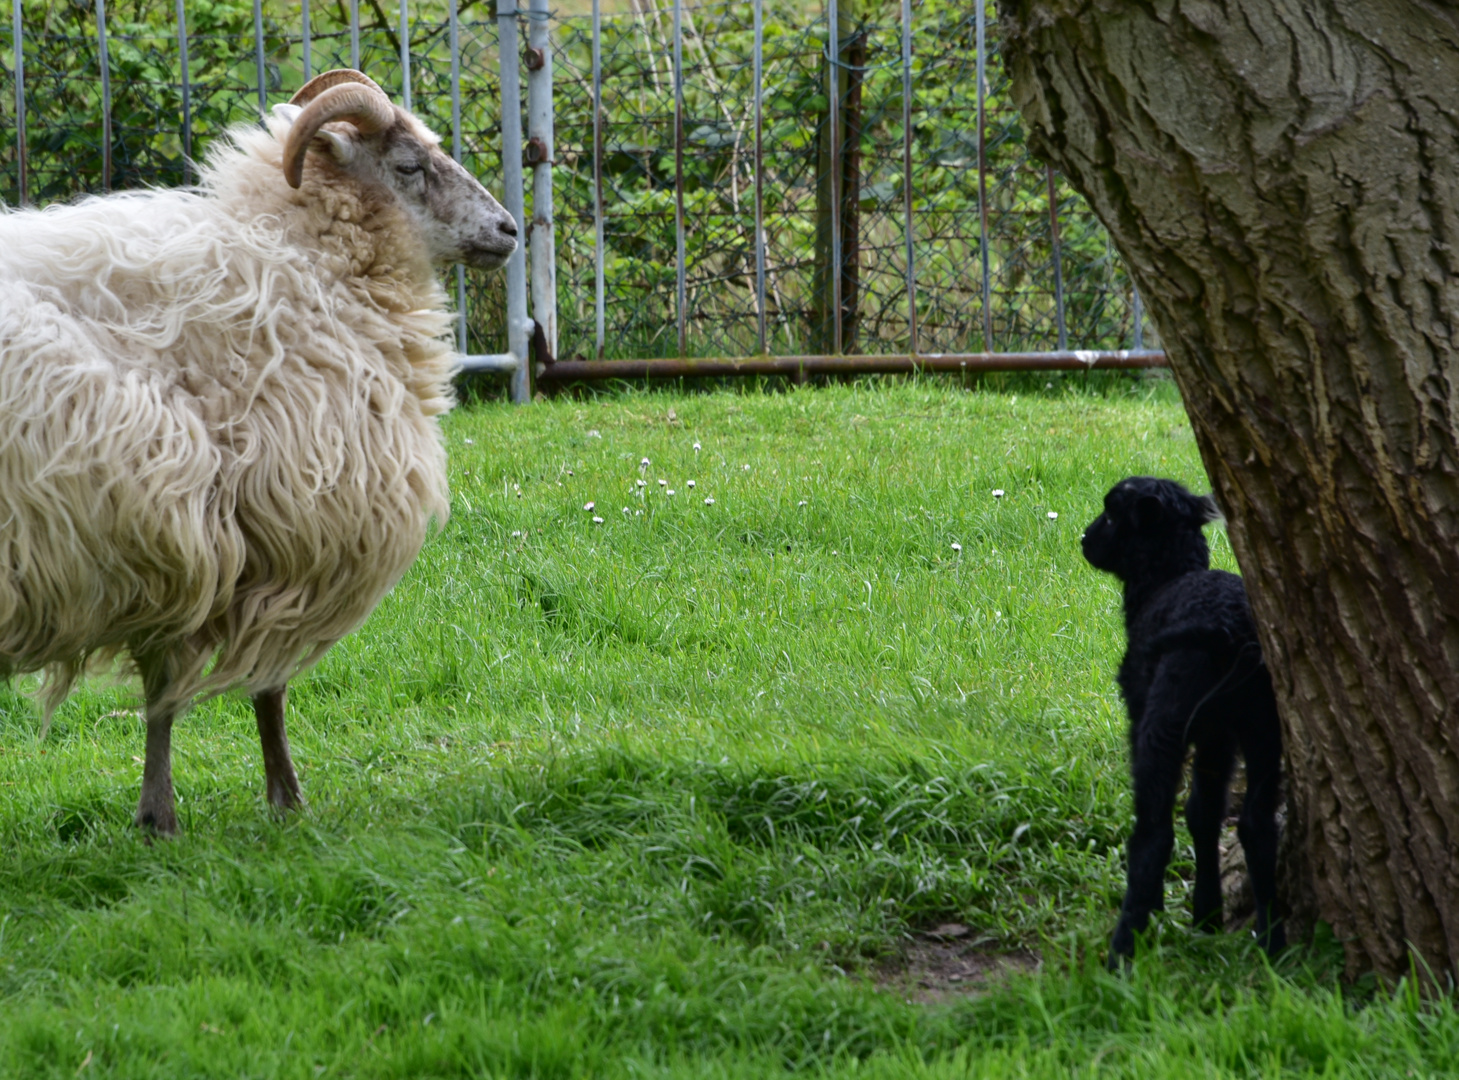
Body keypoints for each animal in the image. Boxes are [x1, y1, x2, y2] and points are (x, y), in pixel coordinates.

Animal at [0, 69, 519, 834]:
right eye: (409, 166)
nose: (509, 230)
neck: (312, 265)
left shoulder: (185, 544)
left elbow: (168, 687)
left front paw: (166, 813)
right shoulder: (268, 534)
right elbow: (249, 689)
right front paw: (265, 802)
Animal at [1085, 475, 1289, 963]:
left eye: (1112, 514)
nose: (1084, 541)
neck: (1168, 579)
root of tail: (1228, 632)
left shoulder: (1142, 711)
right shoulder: (1218, 736)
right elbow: (1204, 811)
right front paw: (1207, 915)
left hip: (1164, 720)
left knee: (1154, 835)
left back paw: (1123, 950)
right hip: (1263, 724)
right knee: (1256, 824)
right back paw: (1273, 943)